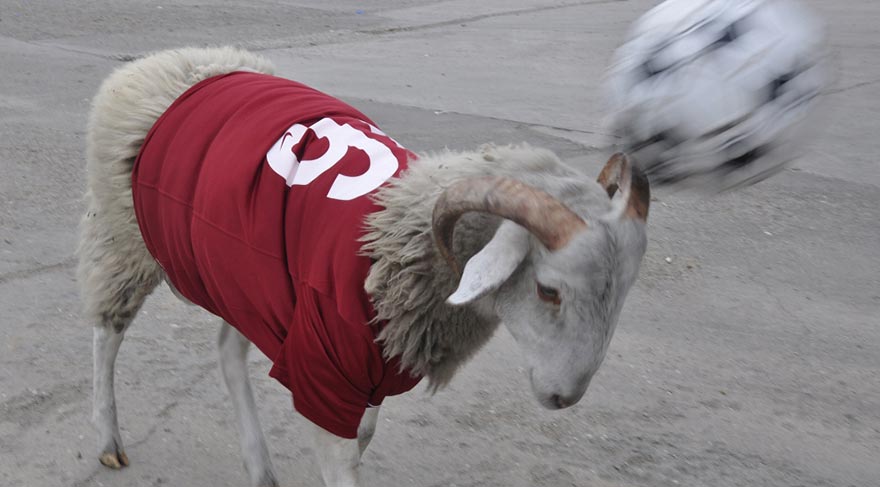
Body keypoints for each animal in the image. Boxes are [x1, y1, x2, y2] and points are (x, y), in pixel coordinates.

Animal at [75, 47, 648, 487]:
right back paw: (108, 438)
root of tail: (162, 61)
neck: (390, 237)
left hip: (245, 276)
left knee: (227, 350)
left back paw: (259, 468)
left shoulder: (368, 360)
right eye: (549, 290)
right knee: (107, 332)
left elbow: (365, 434)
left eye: (623, 293)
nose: (564, 397)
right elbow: (343, 456)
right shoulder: (324, 368)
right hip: (124, 237)